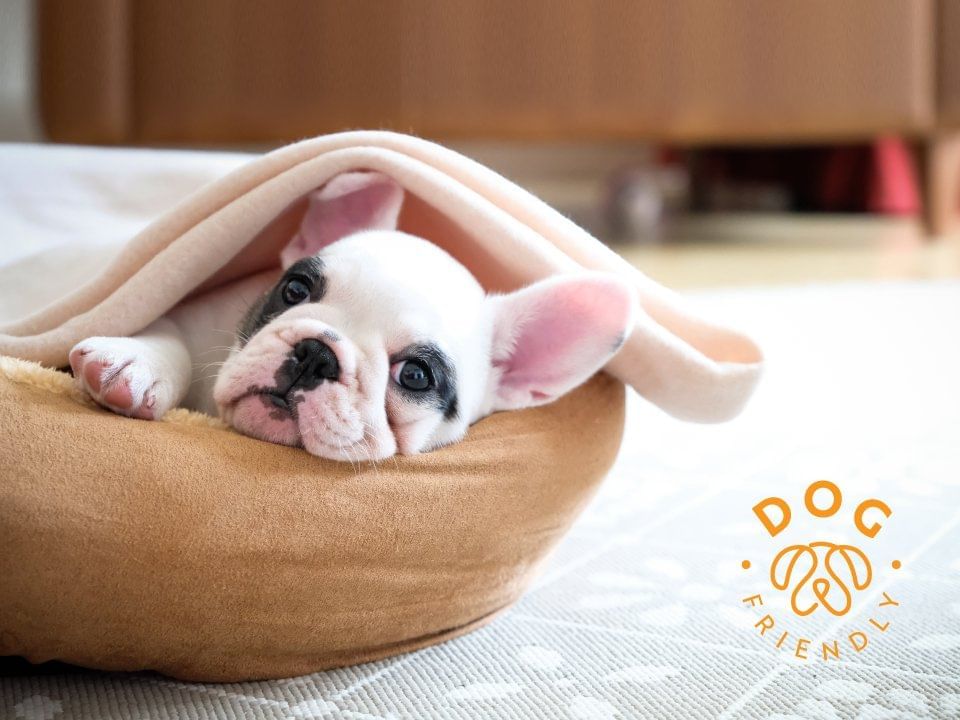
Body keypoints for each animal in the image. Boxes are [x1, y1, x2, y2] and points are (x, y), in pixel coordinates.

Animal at [71, 172, 632, 458]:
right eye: (295, 289)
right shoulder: (196, 313)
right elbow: (168, 333)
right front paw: (133, 364)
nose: (316, 354)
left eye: (415, 375)